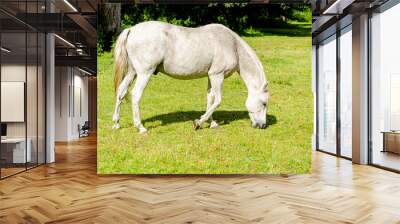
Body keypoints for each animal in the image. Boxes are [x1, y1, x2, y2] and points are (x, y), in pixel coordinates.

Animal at [111, 20, 270, 133]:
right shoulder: (217, 76)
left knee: (121, 92)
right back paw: (141, 127)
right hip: (144, 73)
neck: (232, 45)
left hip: (132, 73)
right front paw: (198, 123)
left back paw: (116, 123)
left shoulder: (210, 76)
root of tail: (132, 30)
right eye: (264, 103)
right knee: (135, 95)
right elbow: (218, 100)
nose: (262, 125)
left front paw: (211, 123)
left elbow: (210, 99)